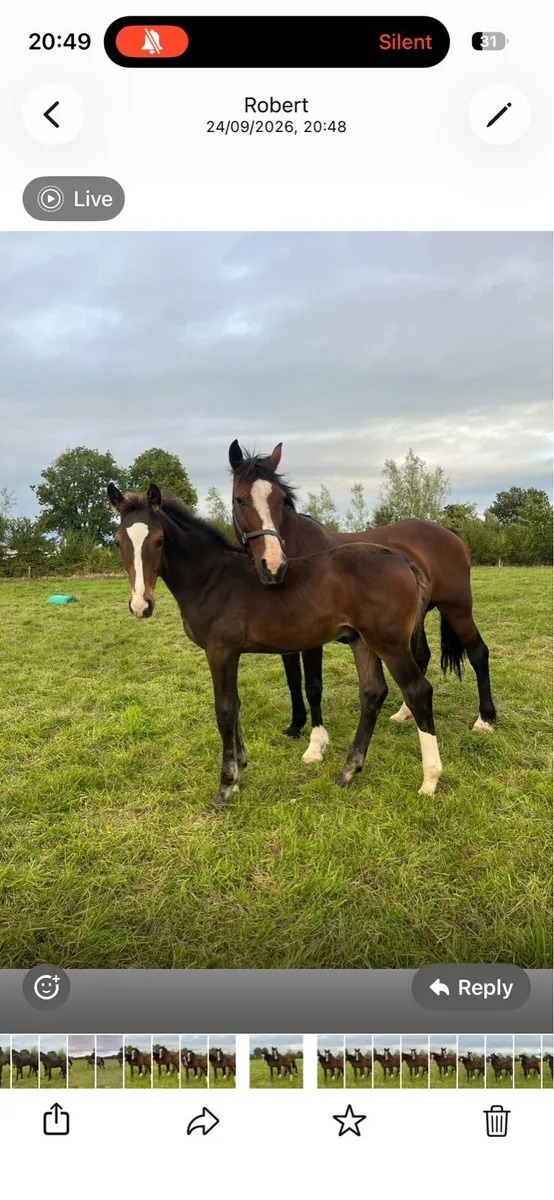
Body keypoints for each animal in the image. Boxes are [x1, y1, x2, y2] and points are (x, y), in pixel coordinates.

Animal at [108, 484, 443, 805]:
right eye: (117, 541)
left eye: (159, 540)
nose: (141, 605)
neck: (211, 579)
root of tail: (403, 560)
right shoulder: (229, 653)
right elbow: (236, 706)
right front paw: (239, 774)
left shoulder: (220, 651)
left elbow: (225, 711)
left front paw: (225, 787)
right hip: (361, 641)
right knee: (373, 693)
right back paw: (347, 772)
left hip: (390, 643)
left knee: (418, 691)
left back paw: (429, 781)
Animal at [229, 441, 496, 762]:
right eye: (240, 499)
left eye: (281, 500)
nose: (272, 565)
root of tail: (450, 534)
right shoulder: (286, 634)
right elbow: (293, 680)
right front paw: (295, 726)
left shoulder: (313, 640)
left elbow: (313, 685)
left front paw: (315, 746)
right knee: (421, 657)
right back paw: (404, 714)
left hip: (457, 609)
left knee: (478, 653)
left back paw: (485, 719)